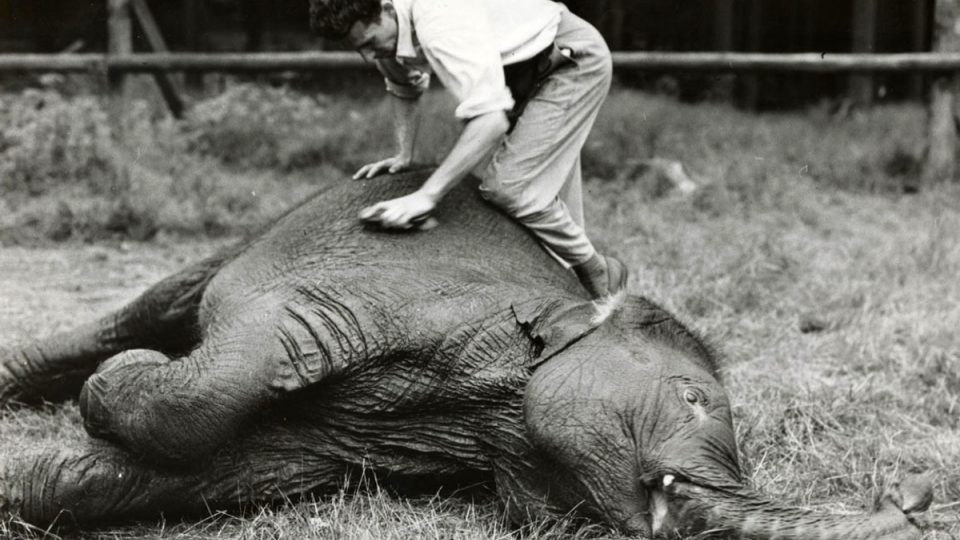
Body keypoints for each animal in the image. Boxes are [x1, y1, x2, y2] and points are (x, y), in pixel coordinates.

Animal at [0, 171, 932, 536]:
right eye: (695, 399)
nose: (918, 496)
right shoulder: (367, 297)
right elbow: (227, 369)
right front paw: (108, 391)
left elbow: (218, 472)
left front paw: (39, 478)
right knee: (157, 307)